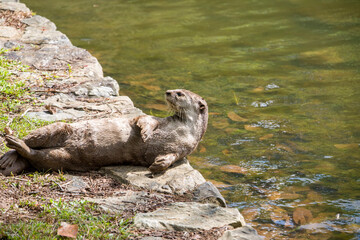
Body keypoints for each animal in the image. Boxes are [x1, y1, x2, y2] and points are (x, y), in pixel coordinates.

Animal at [0, 89, 208, 175]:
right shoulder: (156, 120)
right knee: (31, 139)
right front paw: (145, 134)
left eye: (180, 93)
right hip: (56, 129)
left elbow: (170, 158)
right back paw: (10, 145)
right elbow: (143, 120)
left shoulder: (182, 150)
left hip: (62, 158)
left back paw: (17, 148)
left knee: (36, 156)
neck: (183, 130)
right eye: (175, 90)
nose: (168, 91)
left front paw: (158, 165)